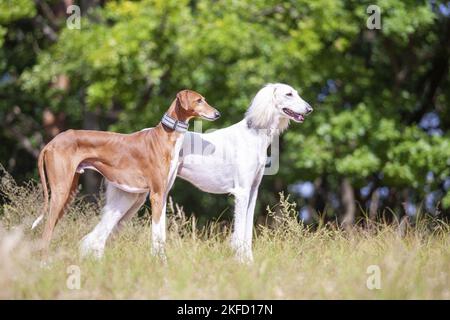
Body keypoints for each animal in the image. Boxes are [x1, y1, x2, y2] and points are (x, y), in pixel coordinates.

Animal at [33, 90, 220, 258]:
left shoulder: (163, 194)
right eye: (199, 100)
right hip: (60, 192)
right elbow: (156, 234)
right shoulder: (156, 195)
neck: (164, 137)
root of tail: (51, 142)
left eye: (204, 99)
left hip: (69, 193)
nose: (218, 114)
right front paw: (158, 261)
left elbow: (161, 234)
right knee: (46, 232)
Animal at [178, 84, 312, 262]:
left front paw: (249, 261)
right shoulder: (241, 192)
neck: (254, 135)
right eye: (289, 94)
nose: (310, 109)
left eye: (296, 93)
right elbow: (240, 231)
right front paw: (241, 261)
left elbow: (247, 231)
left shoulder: (253, 191)